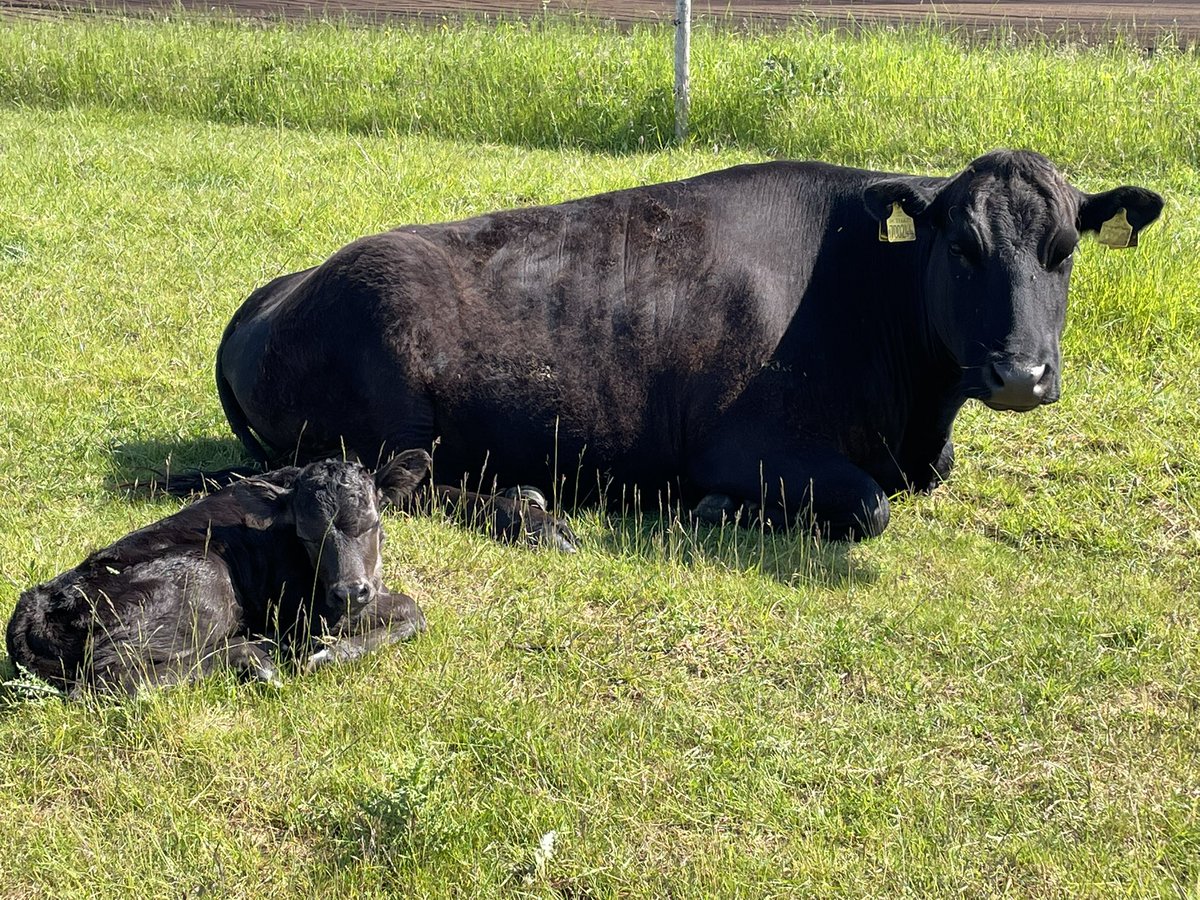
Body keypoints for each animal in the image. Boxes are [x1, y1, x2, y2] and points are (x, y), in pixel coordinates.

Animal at [5, 452, 431, 696]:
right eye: (307, 535)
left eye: (372, 523)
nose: (351, 592)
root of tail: (37, 603)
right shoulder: (307, 613)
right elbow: (413, 608)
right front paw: (326, 655)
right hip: (207, 578)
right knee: (108, 680)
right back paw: (254, 658)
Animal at [212, 150, 1162, 546]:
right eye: (961, 246)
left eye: (1064, 250)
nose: (1020, 374)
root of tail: (272, 296)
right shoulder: (749, 447)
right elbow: (868, 508)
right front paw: (711, 510)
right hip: (391, 405)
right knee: (402, 486)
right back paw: (529, 511)